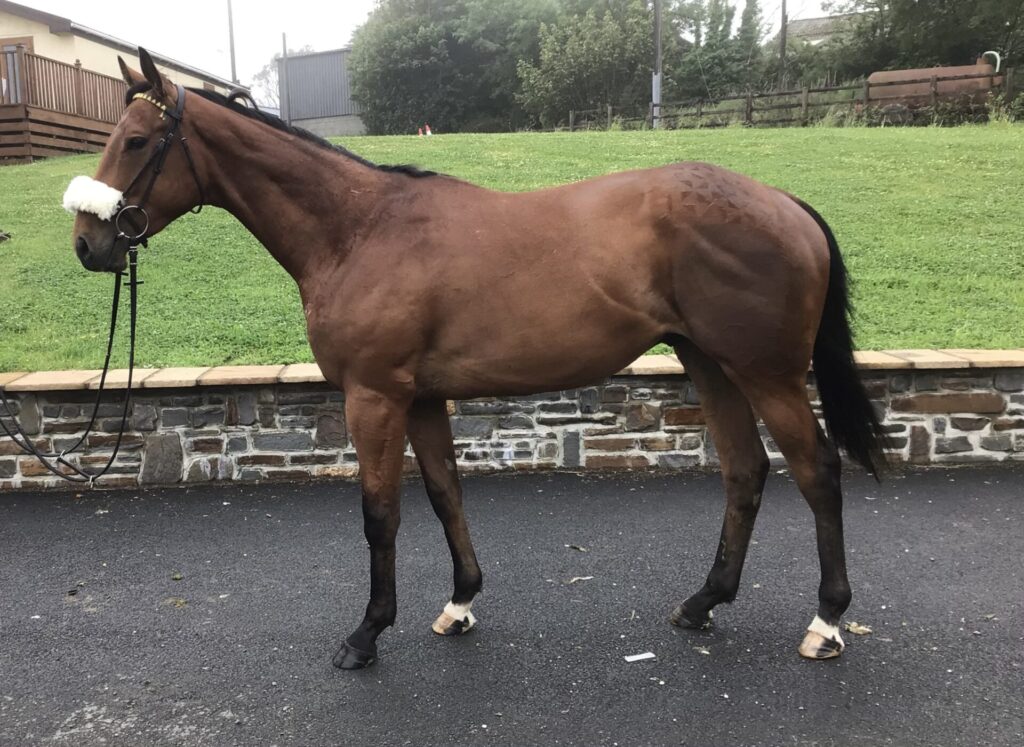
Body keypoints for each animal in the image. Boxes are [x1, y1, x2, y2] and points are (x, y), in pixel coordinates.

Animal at [66, 48, 885, 670]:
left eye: (135, 141)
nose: (88, 243)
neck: (357, 229)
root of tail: (784, 203)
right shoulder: (422, 397)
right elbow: (443, 494)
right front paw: (459, 602)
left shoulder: (374, 395)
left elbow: (381, 512)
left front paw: (367, 633)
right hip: (710, 364)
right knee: (745, 473)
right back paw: (702, 603)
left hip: (766, 373)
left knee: (818, 473)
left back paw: (827, 623)